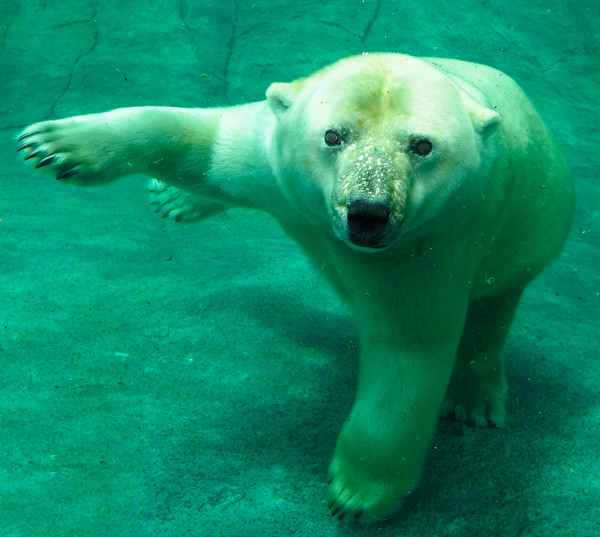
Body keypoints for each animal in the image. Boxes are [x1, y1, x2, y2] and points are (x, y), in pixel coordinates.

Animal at [17, 53, 572, 520]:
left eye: (422, 145)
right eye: (333, 136)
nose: (367, 213)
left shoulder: (428, 245)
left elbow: (406, 354)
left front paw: (357, 493)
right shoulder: (276, 163)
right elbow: (204, 143)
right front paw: (56, 143)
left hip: (528, 230)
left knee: (490, 314)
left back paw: (474, 399)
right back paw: (177, 200)